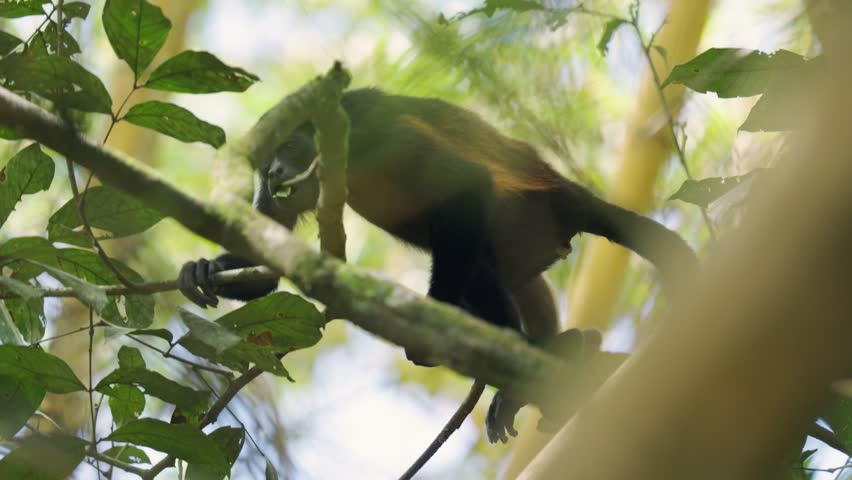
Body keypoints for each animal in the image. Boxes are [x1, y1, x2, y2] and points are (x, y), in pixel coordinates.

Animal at [178, 87, 697, 443]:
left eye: (287, 148)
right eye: (266, 161)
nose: (272, 175)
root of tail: (566, 190)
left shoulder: (373, 136)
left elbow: (467, 184)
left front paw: (435, 315)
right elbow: (267, 268)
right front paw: (203, 269)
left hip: (528, 215)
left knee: (476, 266)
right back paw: (569, 350)